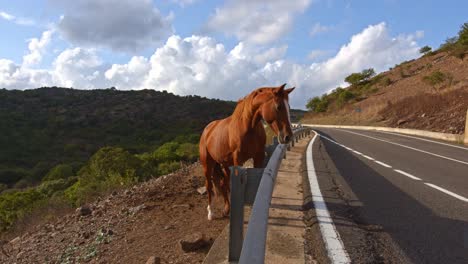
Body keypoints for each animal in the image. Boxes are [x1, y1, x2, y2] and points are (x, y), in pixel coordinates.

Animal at [198, 83, 294, 220]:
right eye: (278, 106)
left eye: (288, 107)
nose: (288, 137)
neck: (247, 127)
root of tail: (207, 130)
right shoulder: (238, 160)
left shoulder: (258, 157)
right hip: (207, 164)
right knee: (209, 186)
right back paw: (210, 213)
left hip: (225, 164)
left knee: (223, 184)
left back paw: (226, 209)